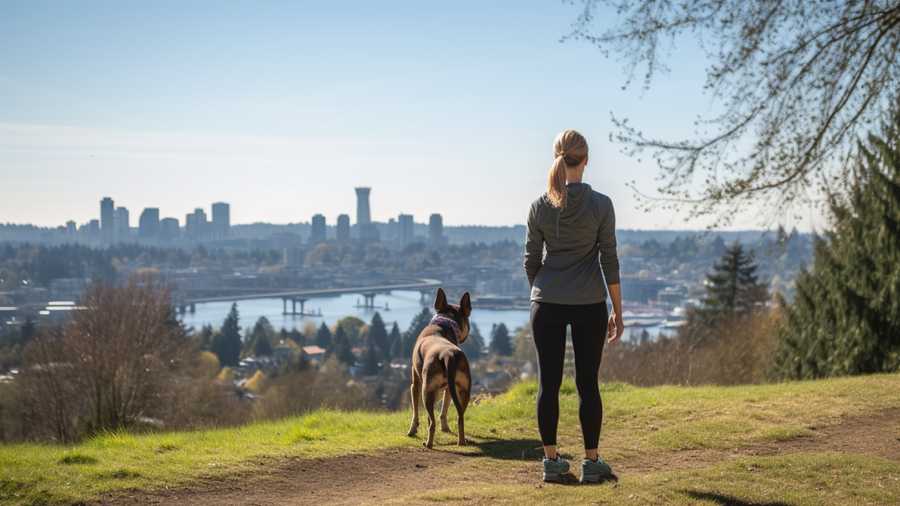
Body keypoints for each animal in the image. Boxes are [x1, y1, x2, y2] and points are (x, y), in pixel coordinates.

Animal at [408, 286, 474, 448]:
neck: (444, 323)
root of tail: (448, 355)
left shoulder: (415, 384)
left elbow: (415, 412)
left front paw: (412, 430)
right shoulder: (449, 389)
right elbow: (444, 410)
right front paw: (445, 428)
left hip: (427, 390)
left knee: (432, 422)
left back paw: (428, 443)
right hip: (464, 389)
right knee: (460, 416)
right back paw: (461, 441)